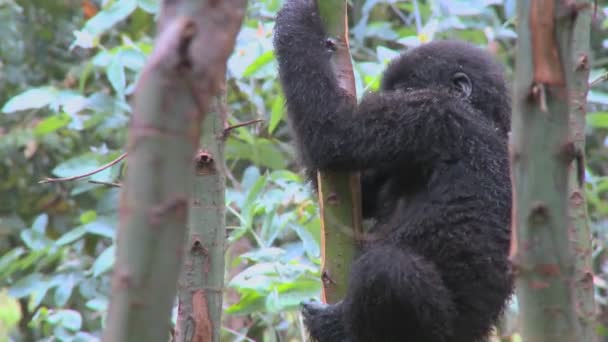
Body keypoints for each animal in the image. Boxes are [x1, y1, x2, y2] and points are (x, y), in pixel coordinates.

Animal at [274, 1, 512, 340]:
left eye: (405, 90)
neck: (486, 117)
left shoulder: (432, 114)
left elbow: (333, 132)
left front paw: (297, 18)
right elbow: (361, 193)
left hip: (437, 331)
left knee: (386, 269)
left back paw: (338, 327)